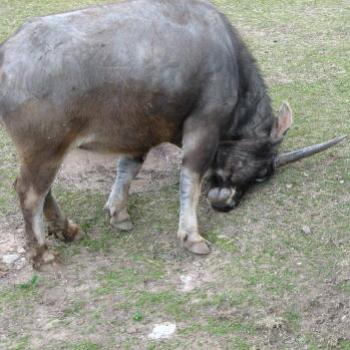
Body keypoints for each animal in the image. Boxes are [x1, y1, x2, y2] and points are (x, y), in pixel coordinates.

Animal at [0, 0, 344, 270]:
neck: (229, 63)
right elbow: (191, 177)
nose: (227, 204)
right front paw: (191, 236)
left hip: (47, 151)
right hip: (45, 149)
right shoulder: (203, 128)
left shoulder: (140, 134)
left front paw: (118, 212)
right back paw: (43, 255)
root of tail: (7, 55)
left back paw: (67, 230)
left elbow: (128, 168)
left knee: (43, 190)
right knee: (29, 192)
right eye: (263, 173)